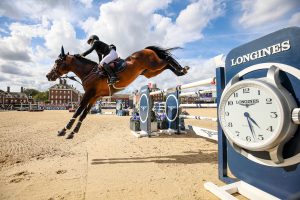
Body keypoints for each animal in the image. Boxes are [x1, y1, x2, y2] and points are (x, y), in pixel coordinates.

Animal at [45, 45, 189, 139]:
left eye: (57, 61)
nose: (48, 75)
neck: (89, 72)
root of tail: (146, 49)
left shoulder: (89, 94)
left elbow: (78, 110)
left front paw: (64, 130)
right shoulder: (94, 97)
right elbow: (83, 114)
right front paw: (73, 132)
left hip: (153, 65)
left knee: (167, 60)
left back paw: (182, 69)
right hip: (150, 72)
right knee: (166, 65)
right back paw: (180, 71)